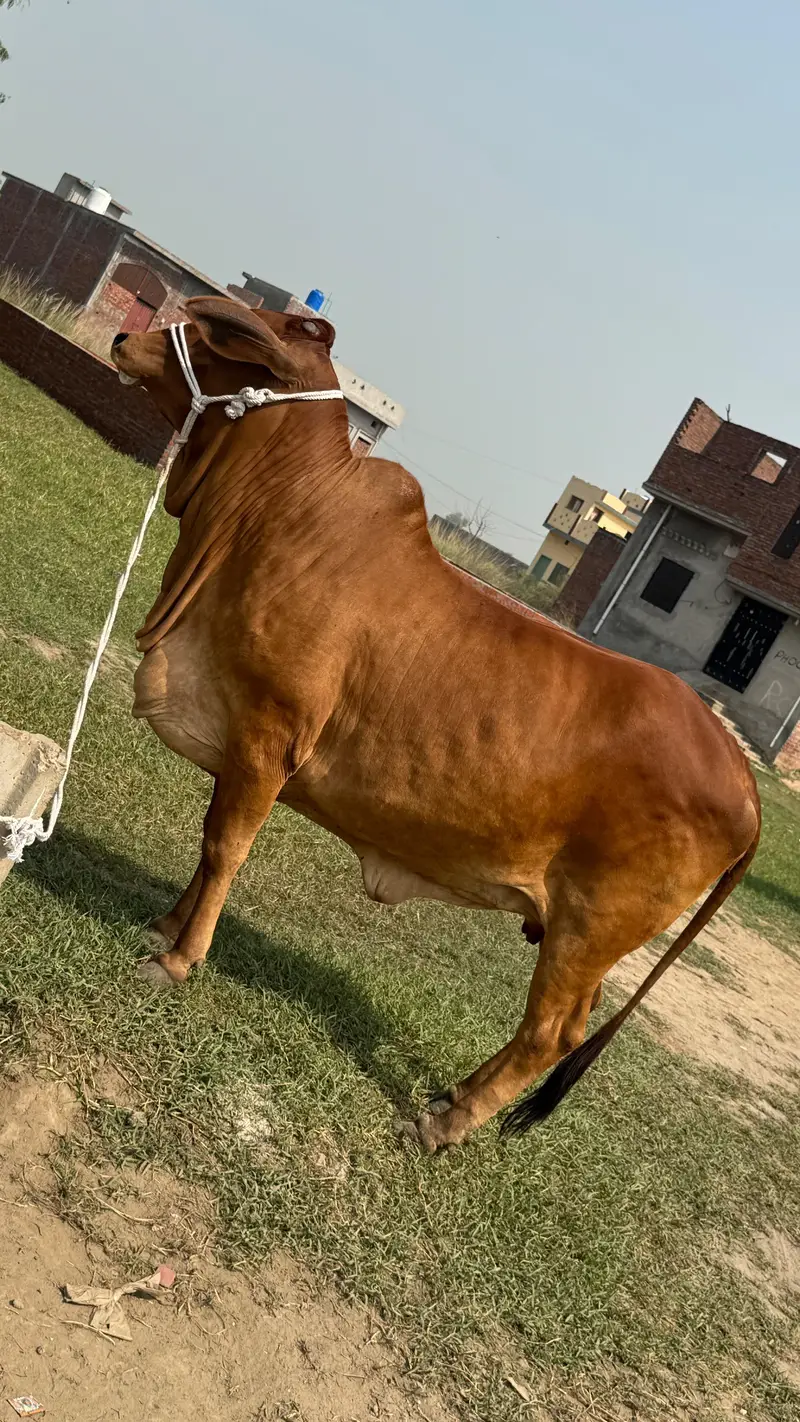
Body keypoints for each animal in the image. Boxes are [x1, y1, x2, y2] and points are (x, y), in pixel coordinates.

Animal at [110, 297, 760, 1153]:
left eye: (215, 337)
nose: (125, 336)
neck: (268, 513)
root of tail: (744, 775)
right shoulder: (237, 738)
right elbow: (208, 844)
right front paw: (165, 925)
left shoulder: (266, 736)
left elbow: (225, 849)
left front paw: (179, 960)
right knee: (562, 1028)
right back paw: (456, 1095)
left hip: (589, 929)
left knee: (552, 1033)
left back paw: (444, 1123)